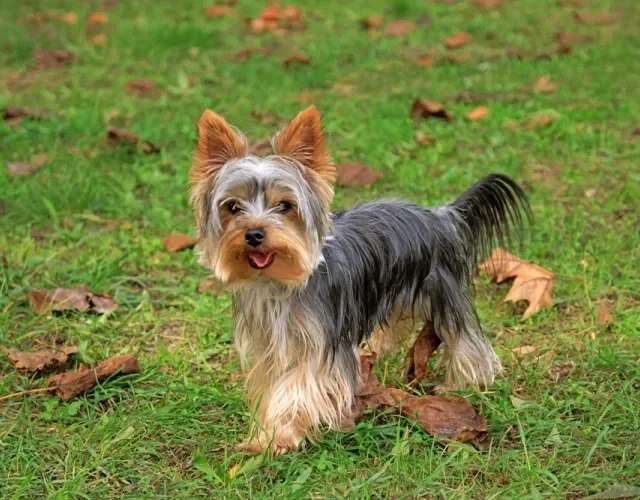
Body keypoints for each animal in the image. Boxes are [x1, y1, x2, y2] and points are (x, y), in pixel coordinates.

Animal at [189, 107, 528, 456]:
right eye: (232, 207)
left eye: (285, 206)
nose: (254, 234)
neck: (279, 284)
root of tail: (440, 216)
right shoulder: (269, 345)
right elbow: (271, 388)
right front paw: (263, 437)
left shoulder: (322, 345)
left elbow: (297, 387)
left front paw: (281, 437)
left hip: (446, 294)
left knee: (467, 342)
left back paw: (461, 383)